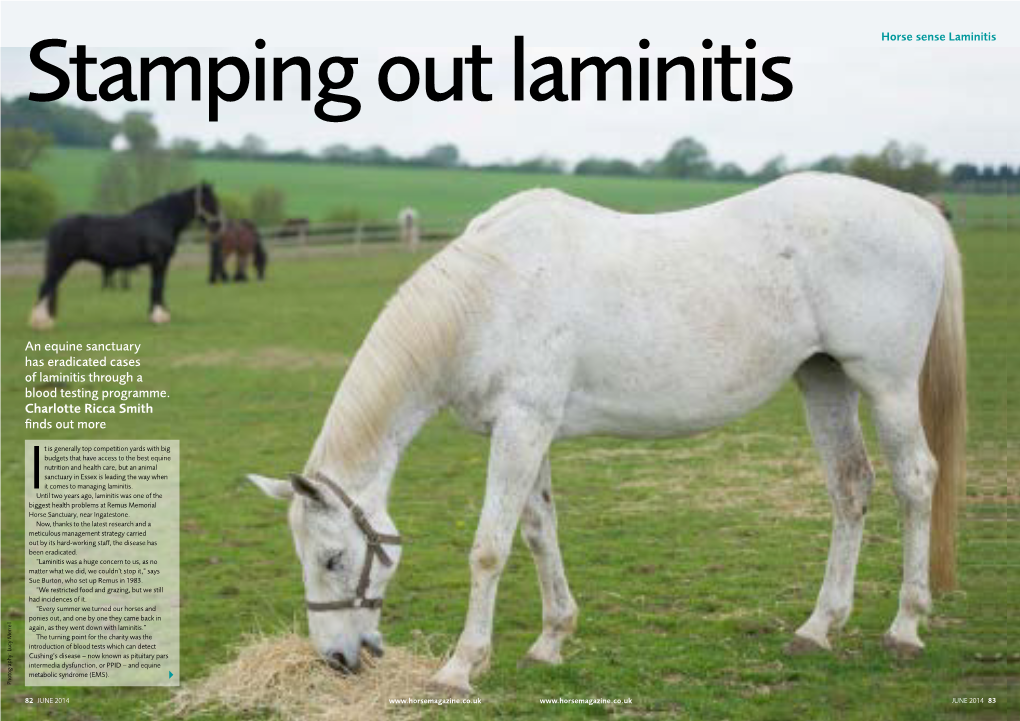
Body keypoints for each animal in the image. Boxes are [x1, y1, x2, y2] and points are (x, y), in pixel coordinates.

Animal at [31, 183, 221, 330]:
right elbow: (157, 286)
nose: (219, 225)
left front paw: (160, 315)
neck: (161, 219)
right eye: (209, 201)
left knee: (49, 288)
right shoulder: (158, 261)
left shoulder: (163, 262)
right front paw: (158, 317)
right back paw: (40, 323)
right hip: (60, 263)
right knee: (45, 287)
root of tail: (56, 225)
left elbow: (159, 287)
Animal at [246, 172, 962, 697]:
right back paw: (818, 628)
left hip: (887, 384)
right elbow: (538, 532)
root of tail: (915, 210)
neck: (488, 296)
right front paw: (550, 642)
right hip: (825, 380)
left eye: (332, 558)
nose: (335, 658)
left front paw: (459, 667)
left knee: (914, 482)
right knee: (851, 487)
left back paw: (905, 627)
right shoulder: (525, 430)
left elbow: (489, 549)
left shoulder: (523, 426)